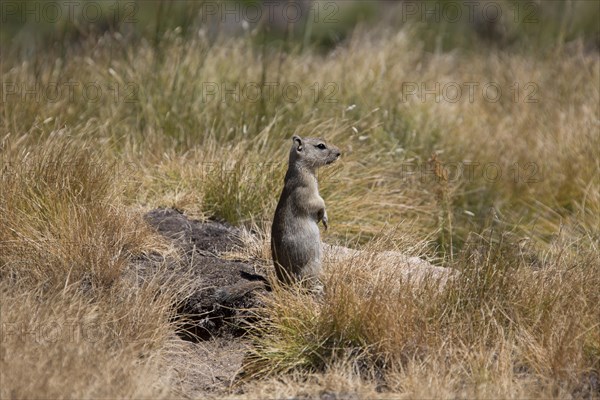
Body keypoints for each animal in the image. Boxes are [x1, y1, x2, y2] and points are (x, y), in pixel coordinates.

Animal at [272, 134, 342, 288]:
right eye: (321, 146)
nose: (339, 153)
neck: (301, 168)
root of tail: (284, 282)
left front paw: (325, 221)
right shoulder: (307, 190)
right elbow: (319, 202)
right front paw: (324, 218)